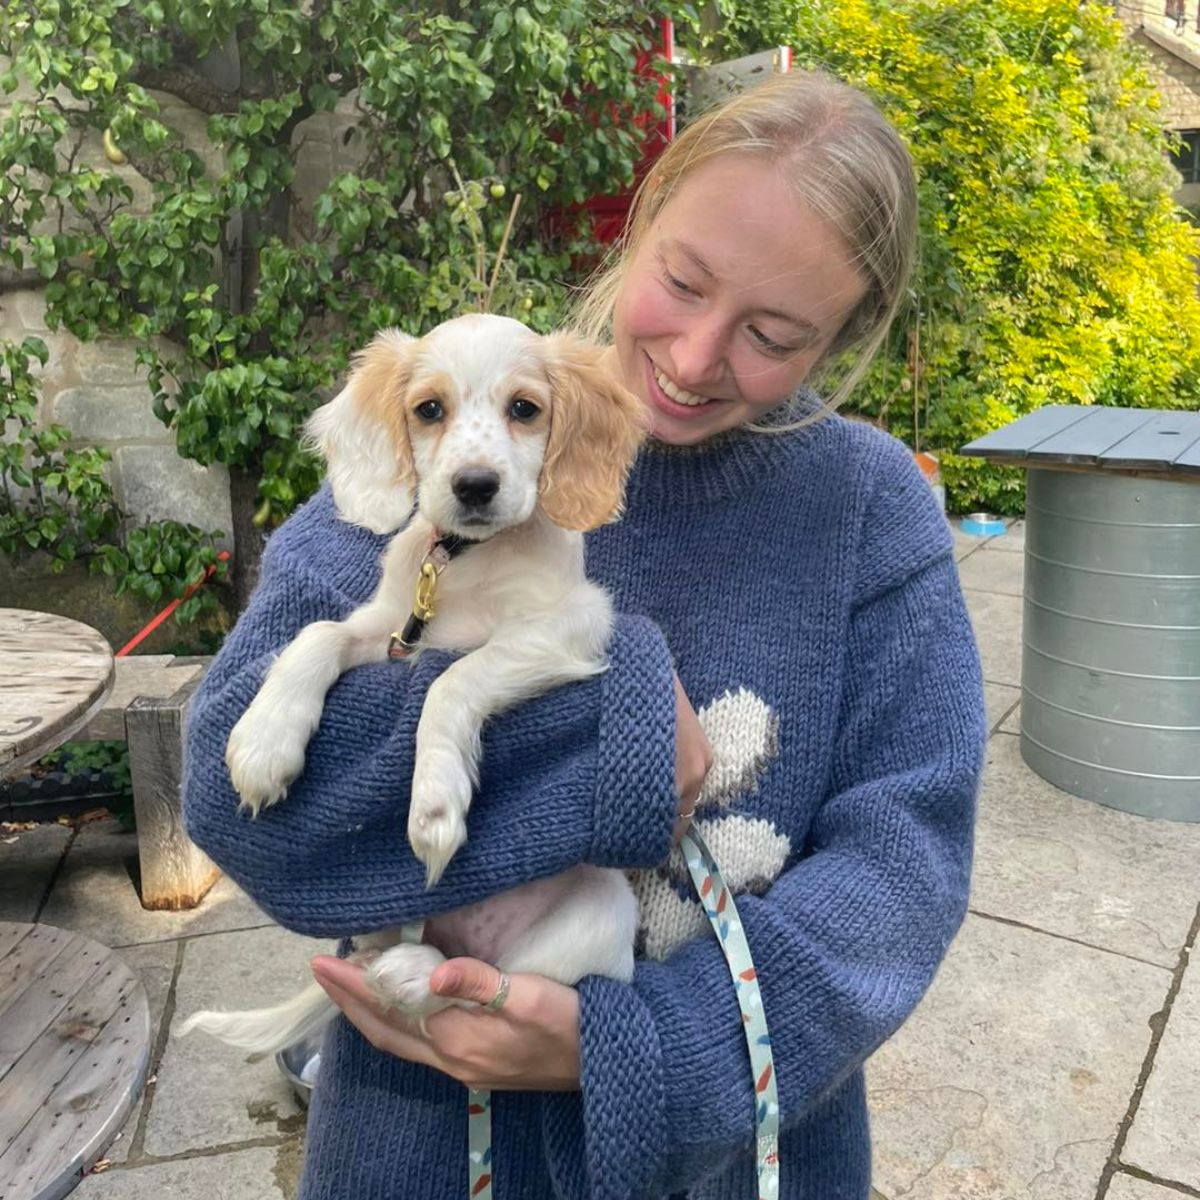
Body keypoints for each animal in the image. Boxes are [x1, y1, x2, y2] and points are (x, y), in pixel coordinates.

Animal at [177, 314, 648, 1056]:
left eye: (525, 409)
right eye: (429, 409)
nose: (475, 485)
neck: (465, 561)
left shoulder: (571, 626)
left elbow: (452, 679)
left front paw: (433, 802)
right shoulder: (393, 627)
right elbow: (319, 634)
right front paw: (263, 741)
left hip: (597, 913)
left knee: (479, 983)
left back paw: (413, 972)